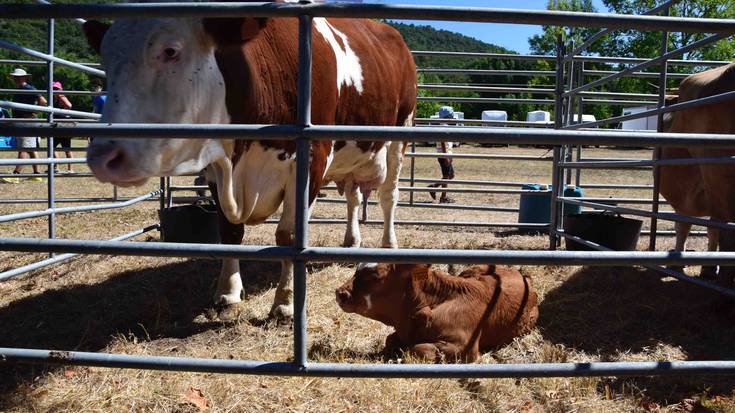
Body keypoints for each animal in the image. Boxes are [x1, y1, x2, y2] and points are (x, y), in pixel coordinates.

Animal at [82, 1, 417, 320]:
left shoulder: (312, 158)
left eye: (170, 51)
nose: (102, 155)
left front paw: (285, 303)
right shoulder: (216, 168)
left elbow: (290, 235)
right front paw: (228, 293)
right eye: (106, 60)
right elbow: (229, 231)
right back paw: (351, 240)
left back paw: (389, 246)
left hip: (401, 133)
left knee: (389, 196)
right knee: (353, 196)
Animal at [335, 263, 539, 362]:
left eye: (376, 276)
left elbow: (417, 349)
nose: (340, 293)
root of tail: (522, 274)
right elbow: (390, 339)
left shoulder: (465, 348)